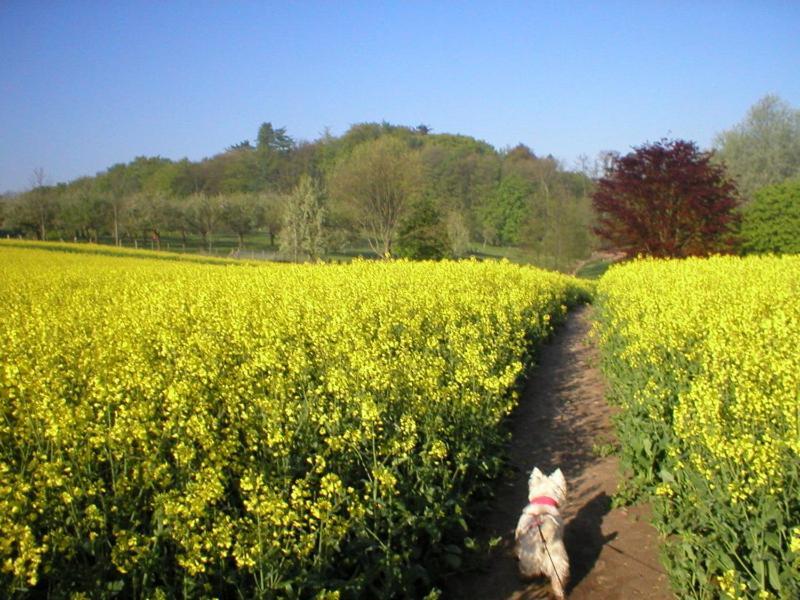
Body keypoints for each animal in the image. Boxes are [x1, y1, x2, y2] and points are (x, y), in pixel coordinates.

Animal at [512, 468, 568, 600]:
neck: (543, 502)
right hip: (559, 564)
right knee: (558, 582)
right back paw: (559, 595)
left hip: (529, 559)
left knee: (527, 571)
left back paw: (523, 577)